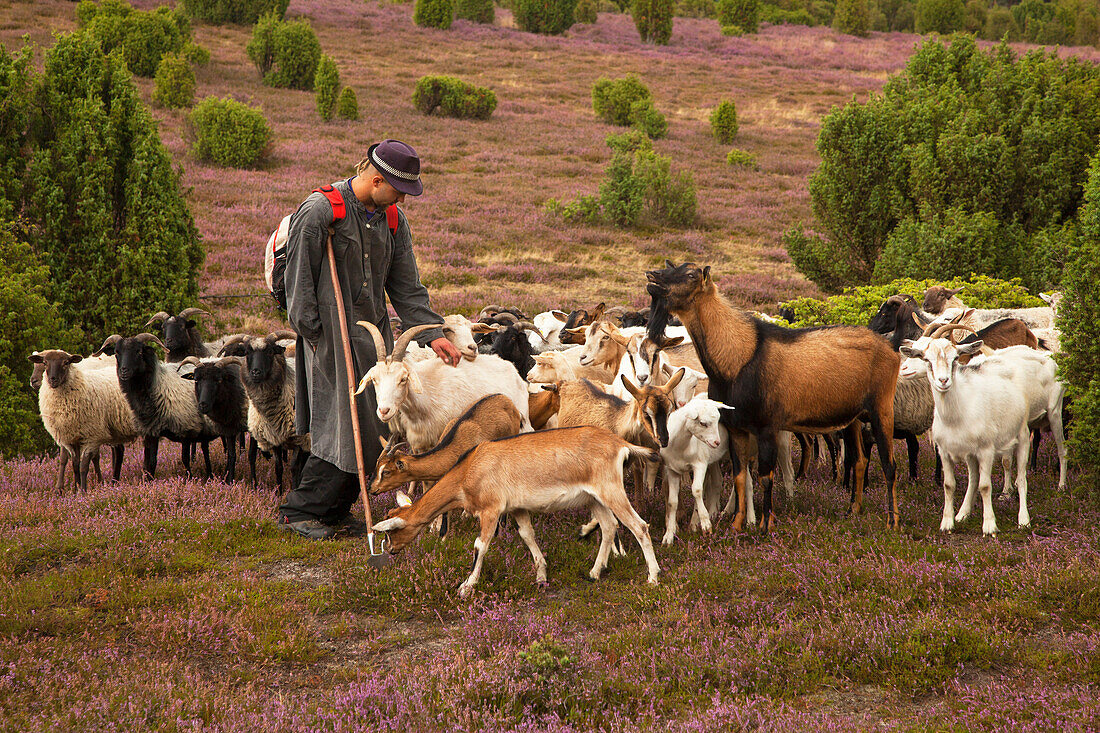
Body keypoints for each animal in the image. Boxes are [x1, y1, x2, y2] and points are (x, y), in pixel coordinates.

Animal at [369, 424, 660, 598]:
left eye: (392, 531)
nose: (391, 551)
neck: (469, 470)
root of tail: (620, 443)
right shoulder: (518, 508)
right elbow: (527, 536)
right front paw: (541, 576)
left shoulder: (491, 509)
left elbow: (480, 545)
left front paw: (466, 586)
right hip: (594, 498)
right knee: (609, 527)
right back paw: (594, 573)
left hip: (611, 490)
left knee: (639, 526)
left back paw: (653, 578)